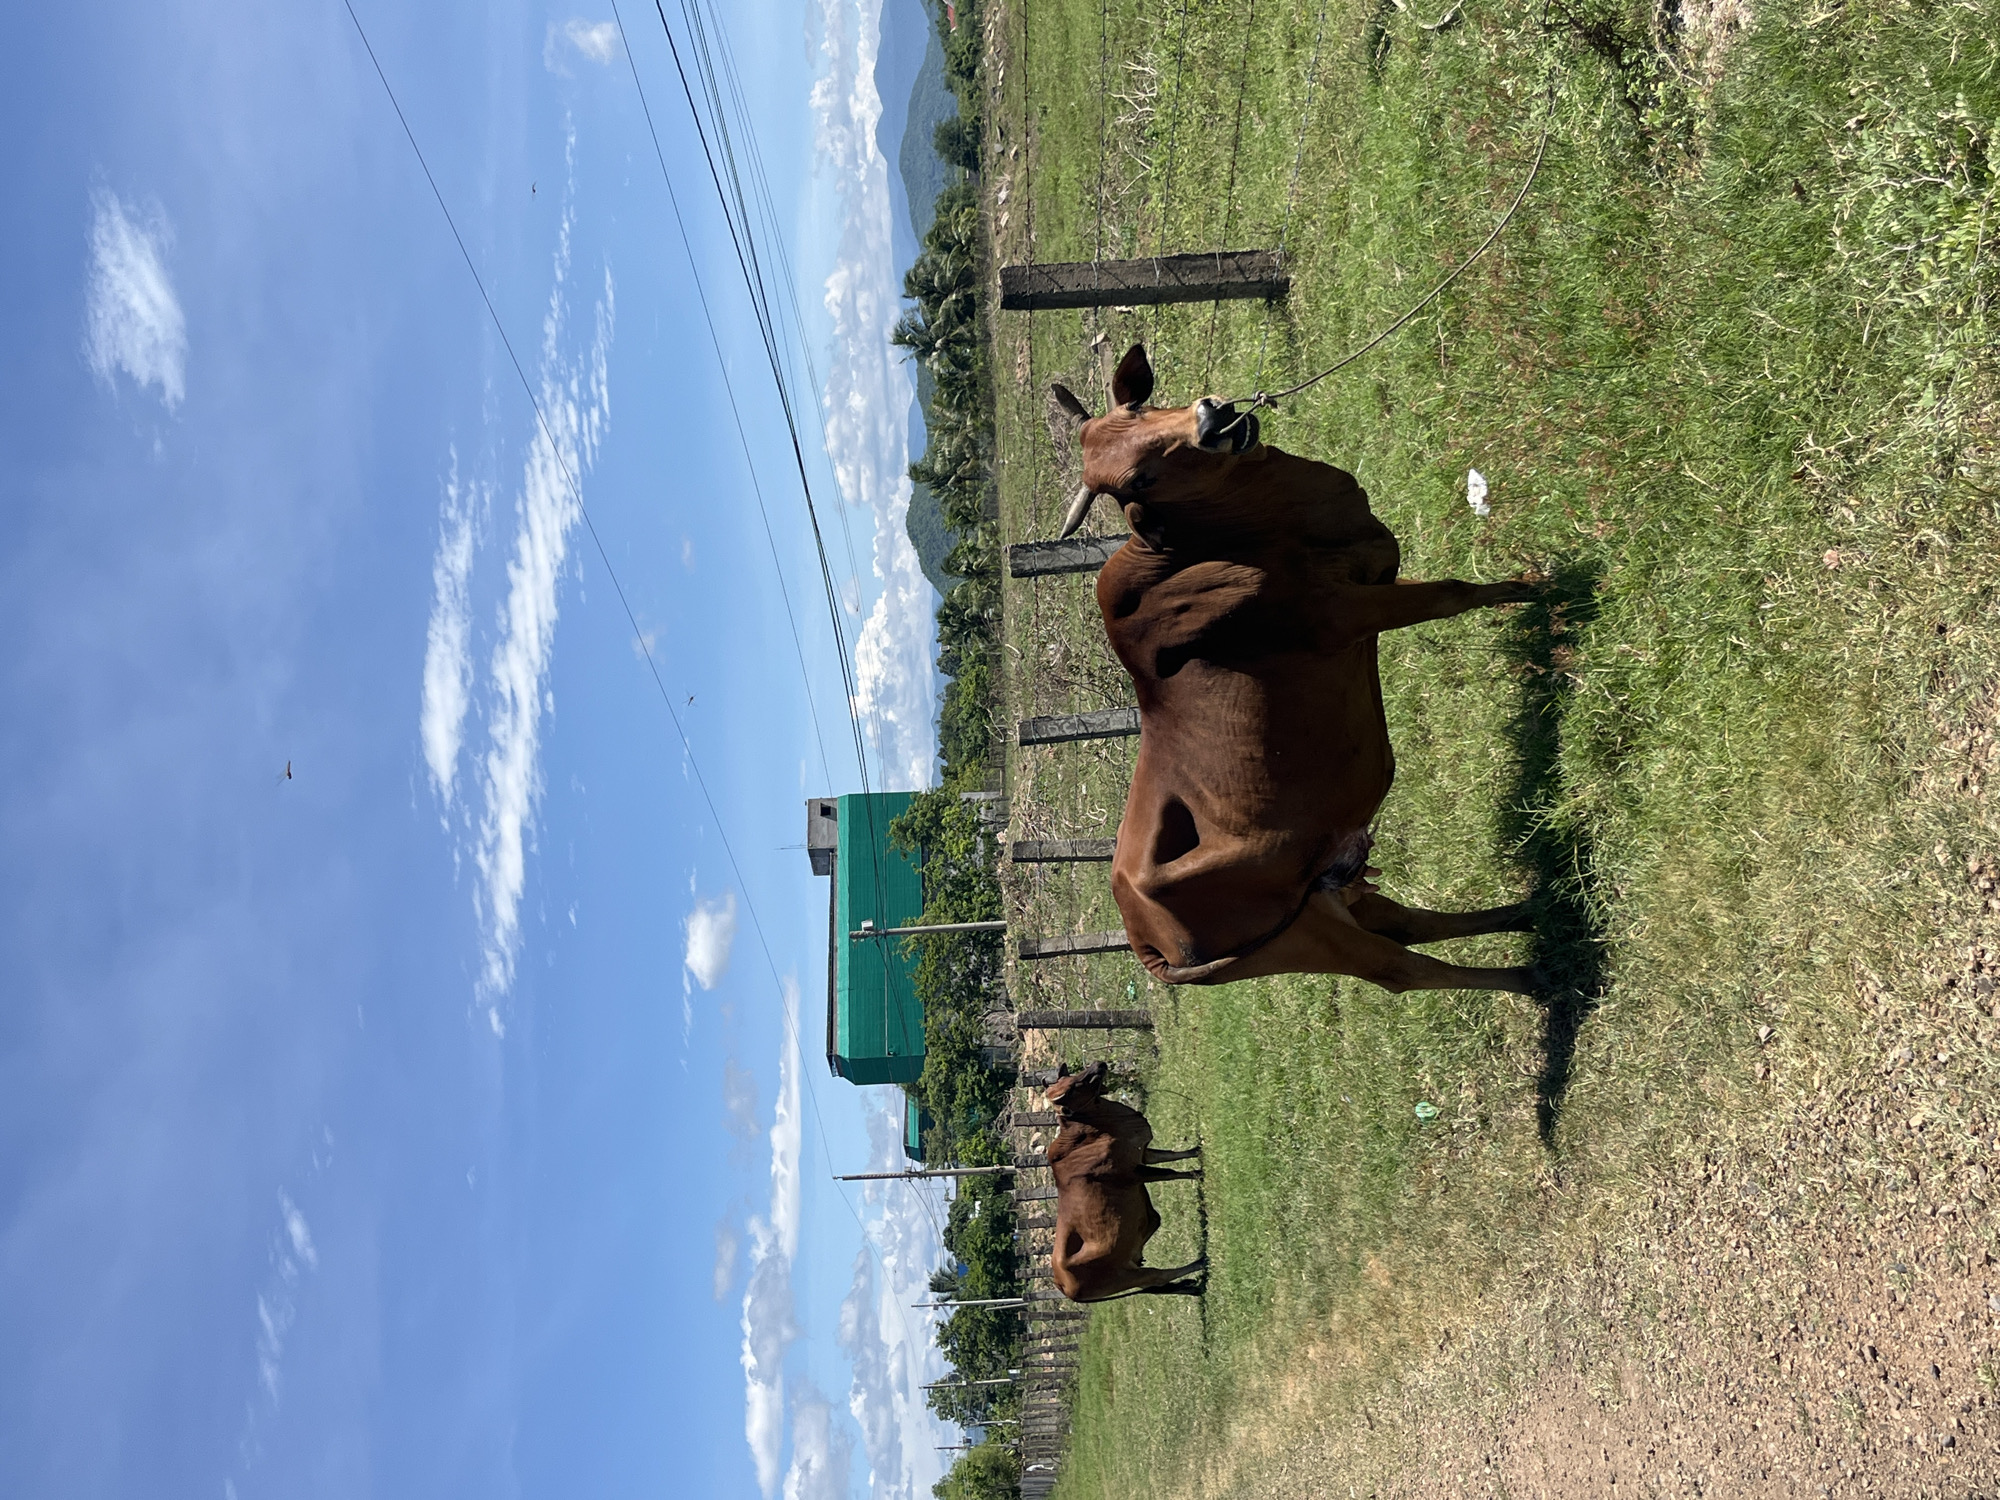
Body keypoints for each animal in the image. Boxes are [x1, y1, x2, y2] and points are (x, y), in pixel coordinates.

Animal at [1045, 1062, 1205, 1302]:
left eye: (1071, 1077)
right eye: (1071, 1088)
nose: (1099, 1064)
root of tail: (1062, 1286)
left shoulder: (1143, 1154)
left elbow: (1171, 1156)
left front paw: (1197, 1150)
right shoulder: (1133, 1173)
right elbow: (1170, 1171)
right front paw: (1198, 1174)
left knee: (1156, 1282)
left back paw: (1189, 1287)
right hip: (1127, 1276)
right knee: (1159, 1277)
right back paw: (1200, 1262)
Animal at [1048, 343, 1541, 997]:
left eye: (1142, 410)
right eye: (1139, 480)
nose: (1212, 421)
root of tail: (1145, 942)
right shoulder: (1347, 612)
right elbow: (1453, 593)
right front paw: (1542, 591)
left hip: (1329, 892)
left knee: (1407, 922)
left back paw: (1532, 914)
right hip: (1307, 935)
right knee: (1403, 967)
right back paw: (1533, 977)